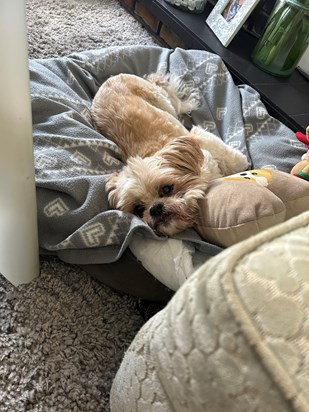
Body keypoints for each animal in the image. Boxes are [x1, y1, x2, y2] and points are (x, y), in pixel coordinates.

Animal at [89, 72, 248, 237]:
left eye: (166, 189)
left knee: (174, 102)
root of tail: (110, 79)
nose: (154, 209)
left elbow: (231, 159)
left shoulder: (200, 138)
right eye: (139, 209)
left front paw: (242, 166)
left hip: (160, 100)